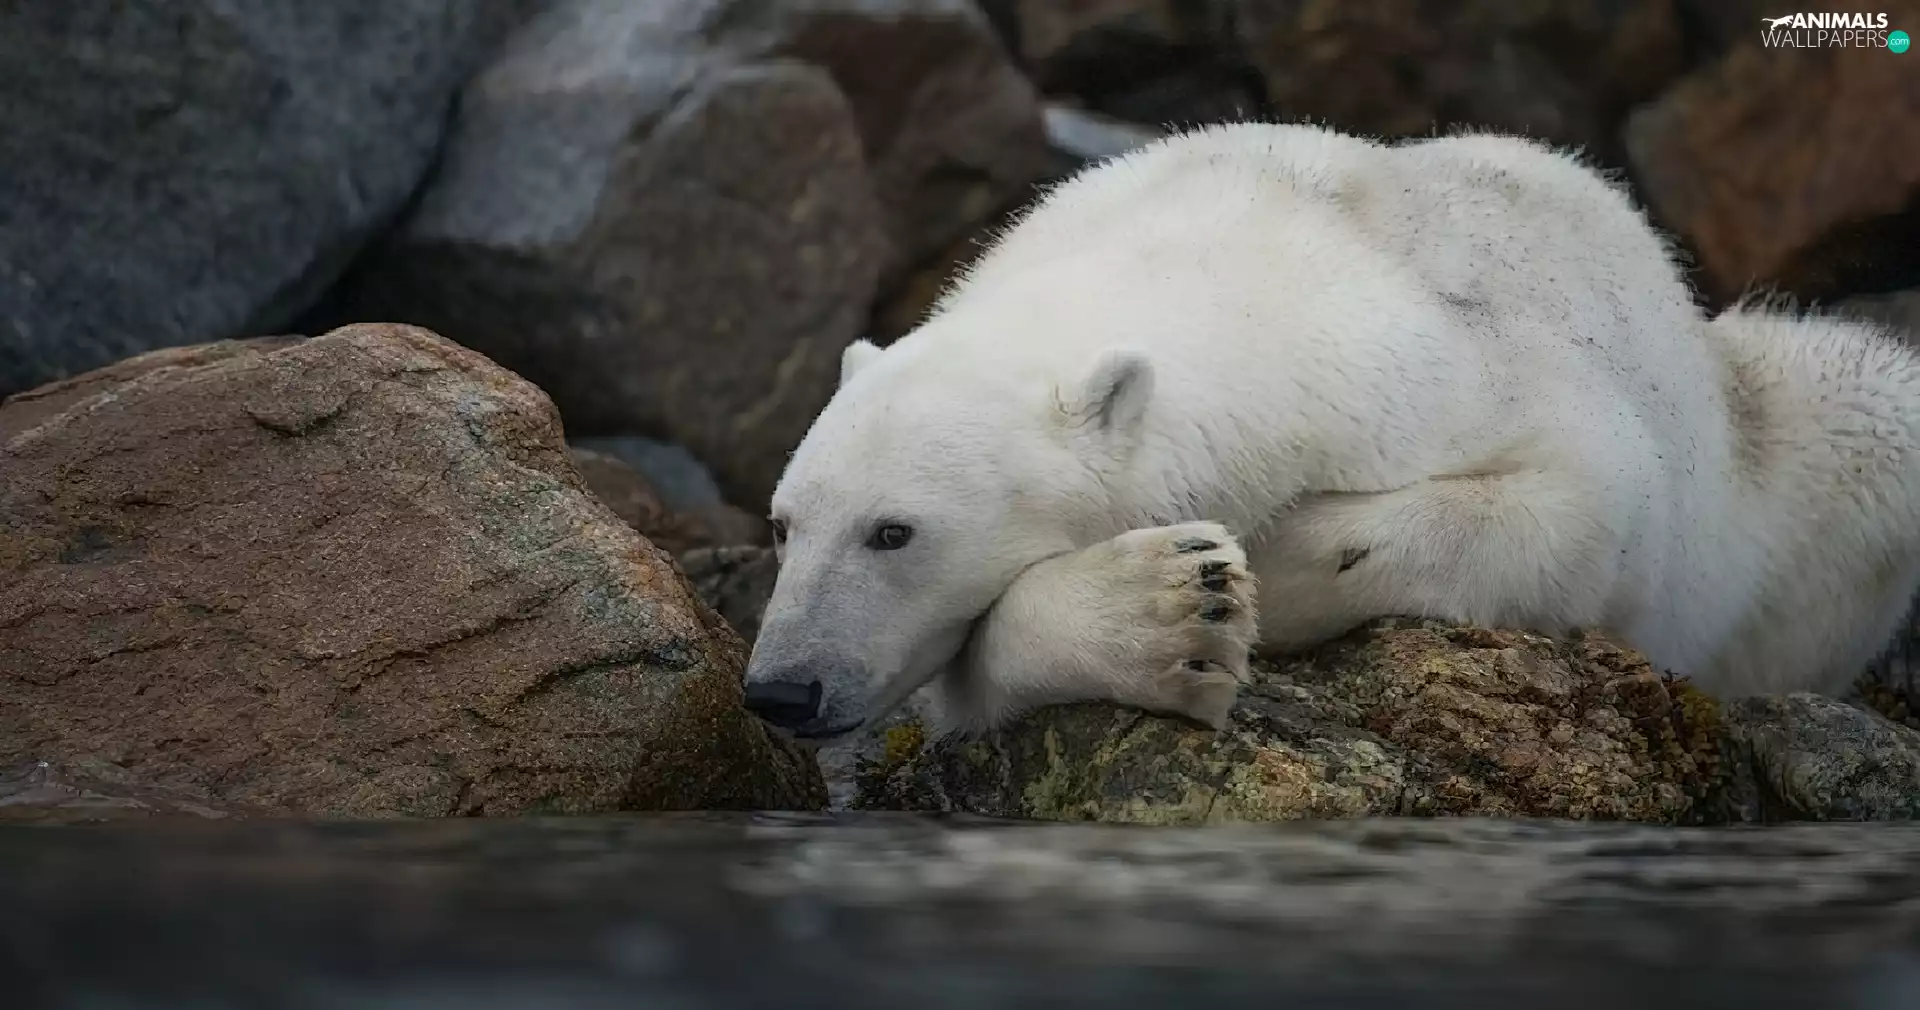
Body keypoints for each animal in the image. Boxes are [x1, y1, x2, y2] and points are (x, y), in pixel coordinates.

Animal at [739, 121, 1920, 742]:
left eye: (894, 531)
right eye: (786, 523)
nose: (781, 690)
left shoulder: (1468, 374)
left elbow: (1579, 513)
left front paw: (1268, 569)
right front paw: (1170, 607)